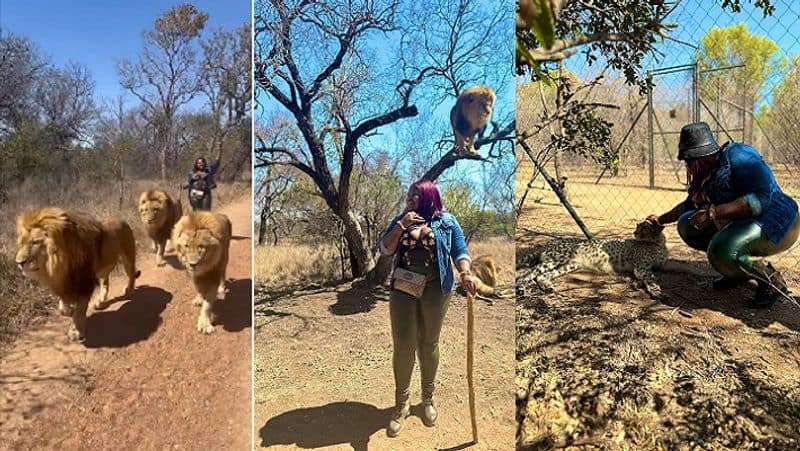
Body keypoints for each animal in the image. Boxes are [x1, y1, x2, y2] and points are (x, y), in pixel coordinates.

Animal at [15, 208, 141, 342]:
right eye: (22, 243)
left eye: (35, 242)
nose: (18, 262)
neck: (59, 266)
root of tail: (121, 218)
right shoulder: (63, 283)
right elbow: (63, 308)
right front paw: (69, 311)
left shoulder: (84, 282)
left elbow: (80, 310)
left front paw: (75, 331)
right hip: (103, 267)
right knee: (105, 283)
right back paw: (100, 302)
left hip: (128, 256)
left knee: (131, 273)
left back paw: (129, 289)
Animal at [516, 220, 664, 298]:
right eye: (637, 226)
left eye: (644, 227)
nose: (635, 232)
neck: (657, 242)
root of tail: (550, 242)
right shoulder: (641, 267)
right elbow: (651, 278)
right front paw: (657, 291)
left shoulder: (649, 268)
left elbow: (649, 277)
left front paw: (637, 284)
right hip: (558, 258)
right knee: (528, 274)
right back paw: (521, 288)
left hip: (570, 264)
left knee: (542, 275)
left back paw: (547, 286)